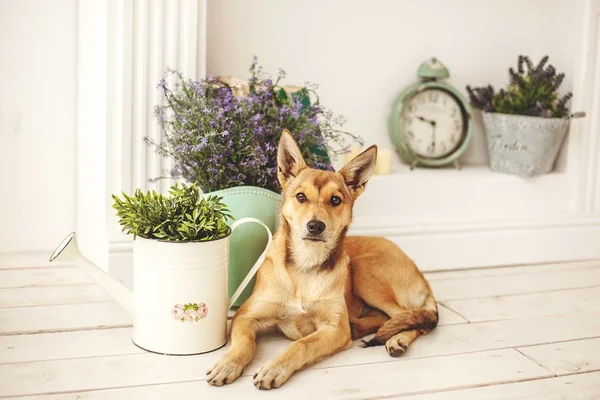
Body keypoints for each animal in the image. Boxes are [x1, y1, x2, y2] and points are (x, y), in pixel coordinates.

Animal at [206, 130, 436, 390]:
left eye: (335, 200)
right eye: (300, 197)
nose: (315, 226)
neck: (305, 266)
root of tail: (421, 275)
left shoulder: (335, 329)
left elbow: (301, 344)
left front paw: (275, 367)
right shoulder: (245, 316)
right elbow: (244, 342)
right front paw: (228, 363)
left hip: (363, 269)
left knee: (411, 317)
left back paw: (398, 339)